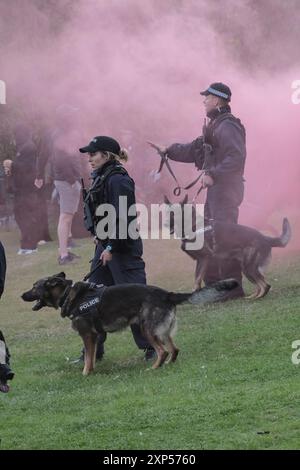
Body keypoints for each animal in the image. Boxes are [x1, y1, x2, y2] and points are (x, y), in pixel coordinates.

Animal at [21, 274, 239, 376]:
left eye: (34, 287)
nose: (21, 295)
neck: (69, 295)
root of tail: (166, 294)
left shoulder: (87, 335)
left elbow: (88, 357)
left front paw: (85, 373)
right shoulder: (96, 336)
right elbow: (92, 356)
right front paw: (91, 370)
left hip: (147, 330)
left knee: (162, 351)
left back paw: (155, 367)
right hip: (162, 331)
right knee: (174, 349)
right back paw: (168, 365)